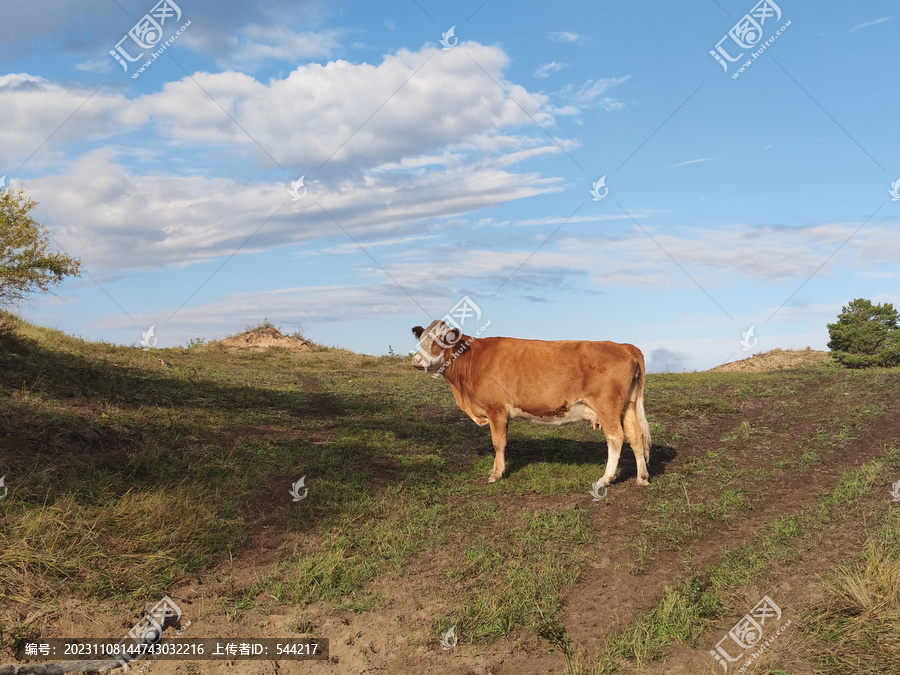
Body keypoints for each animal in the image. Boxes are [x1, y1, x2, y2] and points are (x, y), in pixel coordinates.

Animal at [412, 320, 652, 486]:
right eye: (420, 339)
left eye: (440, 340)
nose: (416, 361)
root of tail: (624, 346)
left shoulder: (496, 409)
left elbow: (498, 442)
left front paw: (496, 474)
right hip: (628, 406)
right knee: (635, 437)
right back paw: (642, 477)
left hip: (607, 407)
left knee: (616, 438)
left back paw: (606, 478)